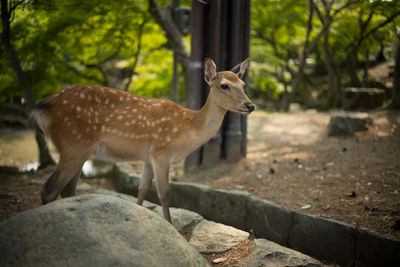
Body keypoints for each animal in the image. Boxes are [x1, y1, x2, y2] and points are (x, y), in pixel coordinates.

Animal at [32, 59, 255, 224]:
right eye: (224, 85)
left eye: (243, 85)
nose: (250, 105)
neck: (187, 130)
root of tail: (42, 107)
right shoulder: (161, 154)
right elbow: (164, 193)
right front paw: (169, 225)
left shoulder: (148, 158)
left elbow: (142, 190)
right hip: (73, 144)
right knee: (49, 189)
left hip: (81, 150)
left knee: (68, 190)